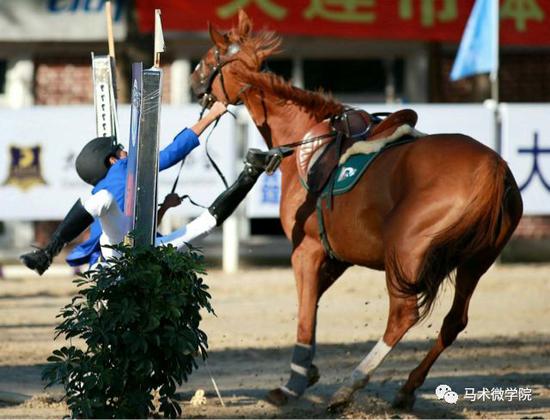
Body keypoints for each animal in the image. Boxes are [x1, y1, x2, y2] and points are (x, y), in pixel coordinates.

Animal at [192, 9, 524, 410]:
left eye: (209, 58)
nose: (194, 82)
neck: (306, 139)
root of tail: (492, 167)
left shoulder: (306, 251)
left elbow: (305, 313)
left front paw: (293, 383)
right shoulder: (336, 258)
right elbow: (313, 306)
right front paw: (308, 370)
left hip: (405, 255)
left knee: (403, 316)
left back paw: (350, 386)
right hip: (476, 262)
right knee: (454, 322)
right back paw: (407, 388)